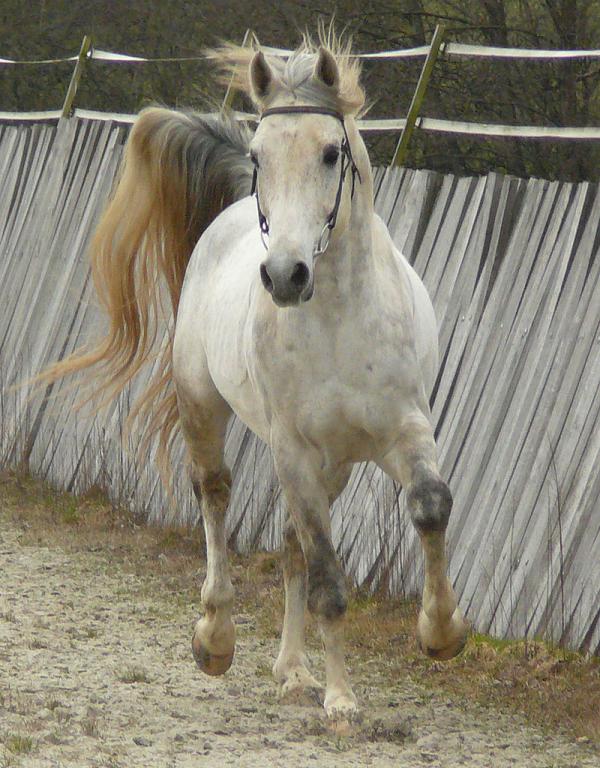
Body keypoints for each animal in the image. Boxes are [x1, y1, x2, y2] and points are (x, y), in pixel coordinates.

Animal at [44, 32, 468, 723]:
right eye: (260, 154)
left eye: (331, 152)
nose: (286, 275)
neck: (337, 318)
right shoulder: (294, 450)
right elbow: (326, 579)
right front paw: (342, 701)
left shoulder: (403, 431)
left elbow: (430, 506)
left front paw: (441, 634)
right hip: (207, 409)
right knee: (216, 494)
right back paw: (216, 638)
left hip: (332, 464)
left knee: (293, 539)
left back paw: (292, 669)